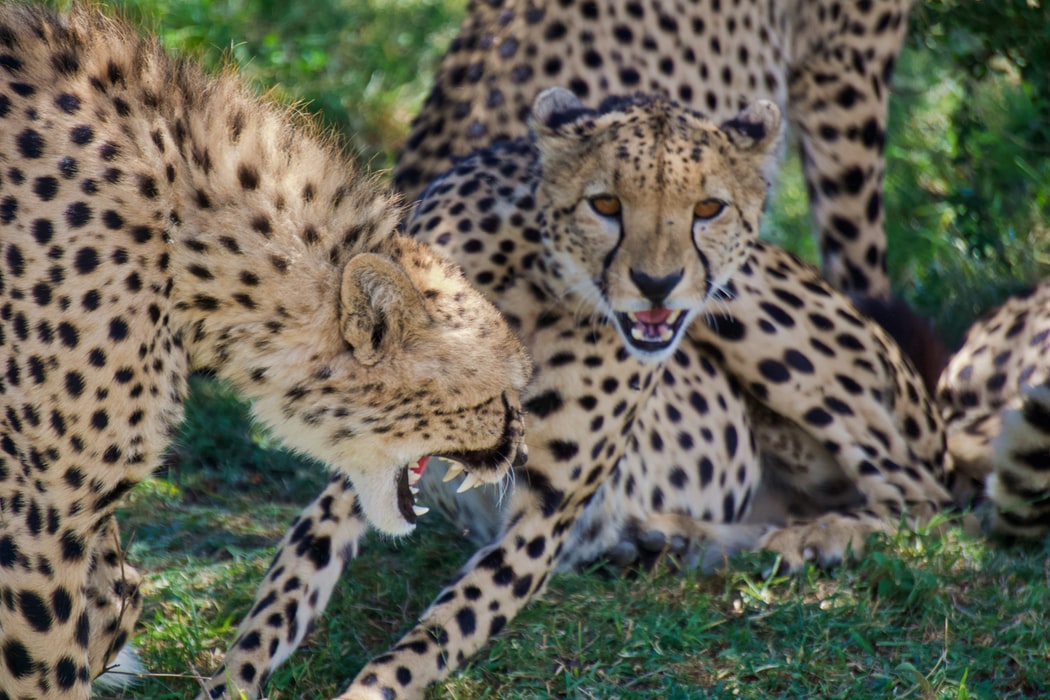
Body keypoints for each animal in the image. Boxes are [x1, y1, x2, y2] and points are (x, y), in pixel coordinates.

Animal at [206, 89, 953, 700]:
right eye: (606, 204)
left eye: (708, 208)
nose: (657, 285)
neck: (536, 288)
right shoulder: (360, 474)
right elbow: (280, 595)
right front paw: (229, 681)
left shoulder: (542, 517)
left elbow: (433, 636)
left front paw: (368, 688)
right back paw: (670, 539)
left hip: (756, 312)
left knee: (923, 497)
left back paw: (811, 539)